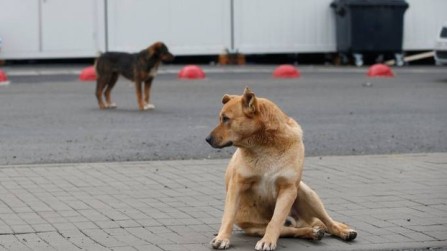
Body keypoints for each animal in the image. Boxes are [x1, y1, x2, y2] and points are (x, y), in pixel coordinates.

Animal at [206, 87, 356, 250]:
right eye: (221, 118)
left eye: (226, 119)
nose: (207, 139)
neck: (265, 146)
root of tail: (301, 221)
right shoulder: (237, 185)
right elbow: (228, 217)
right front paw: (222, 238)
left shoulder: (288, 189)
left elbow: (275, 220)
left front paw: (267, 241)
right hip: (257, 228)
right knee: (292, 230)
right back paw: (312, 232)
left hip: (307, 194)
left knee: (328, 222)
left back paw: (343, 232)